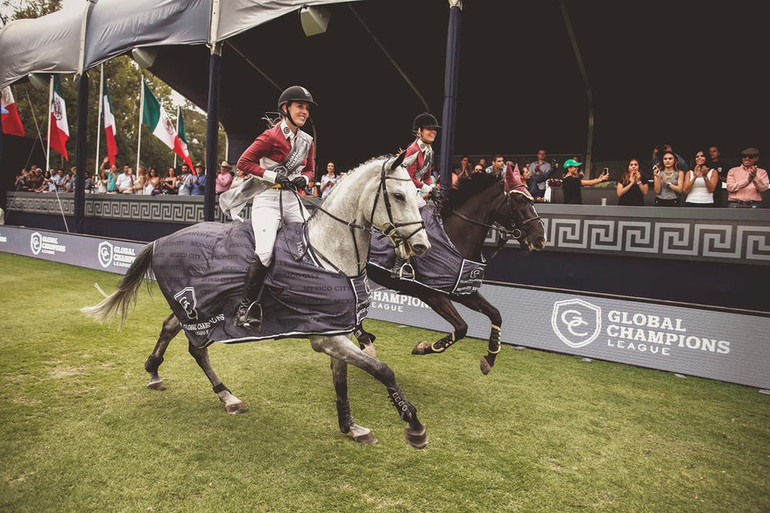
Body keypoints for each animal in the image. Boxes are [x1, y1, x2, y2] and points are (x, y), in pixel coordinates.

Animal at [356, 170, 544, 374]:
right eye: (520, 200)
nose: (540, 238)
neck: (454, 236)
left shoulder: (462, 290)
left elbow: (495, 314)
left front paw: (490, 358)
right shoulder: (431, 294)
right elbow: (462, 327)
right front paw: (423, 347)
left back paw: (365, 339)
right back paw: (366, 342)